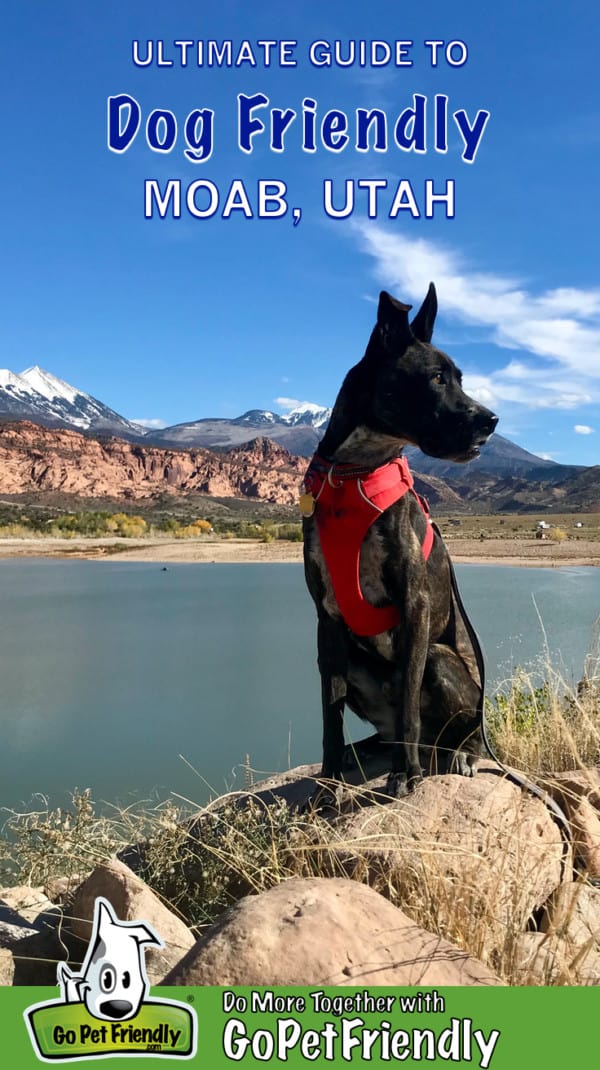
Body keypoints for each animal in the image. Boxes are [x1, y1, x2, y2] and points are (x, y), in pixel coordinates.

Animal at [303, 284, 496, 796]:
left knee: (463, 725)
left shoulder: (415, 606)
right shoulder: (326, 619)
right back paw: (365, 751)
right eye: (436, 378)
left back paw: (457, 755)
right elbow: (329, 716)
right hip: (353, 658)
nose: (490, 420)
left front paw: (406, 776)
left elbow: (408, 702)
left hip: (440, 660)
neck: (353, 473)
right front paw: (328, 781)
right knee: (385, 728)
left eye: (461, 378)